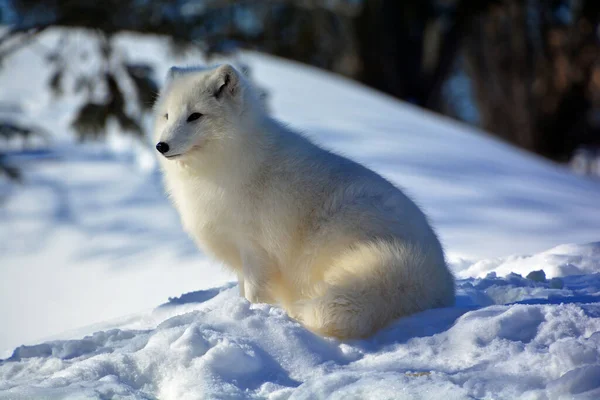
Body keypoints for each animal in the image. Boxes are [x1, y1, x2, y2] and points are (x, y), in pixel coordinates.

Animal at [154, 63, 454, 338]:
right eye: (167, 116)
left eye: (195, 116)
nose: (161, 146)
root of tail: (440, 277)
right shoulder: (238, 253)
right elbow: (242, 291)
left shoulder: (256, 250)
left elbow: (254, 294)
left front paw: (251, 315)